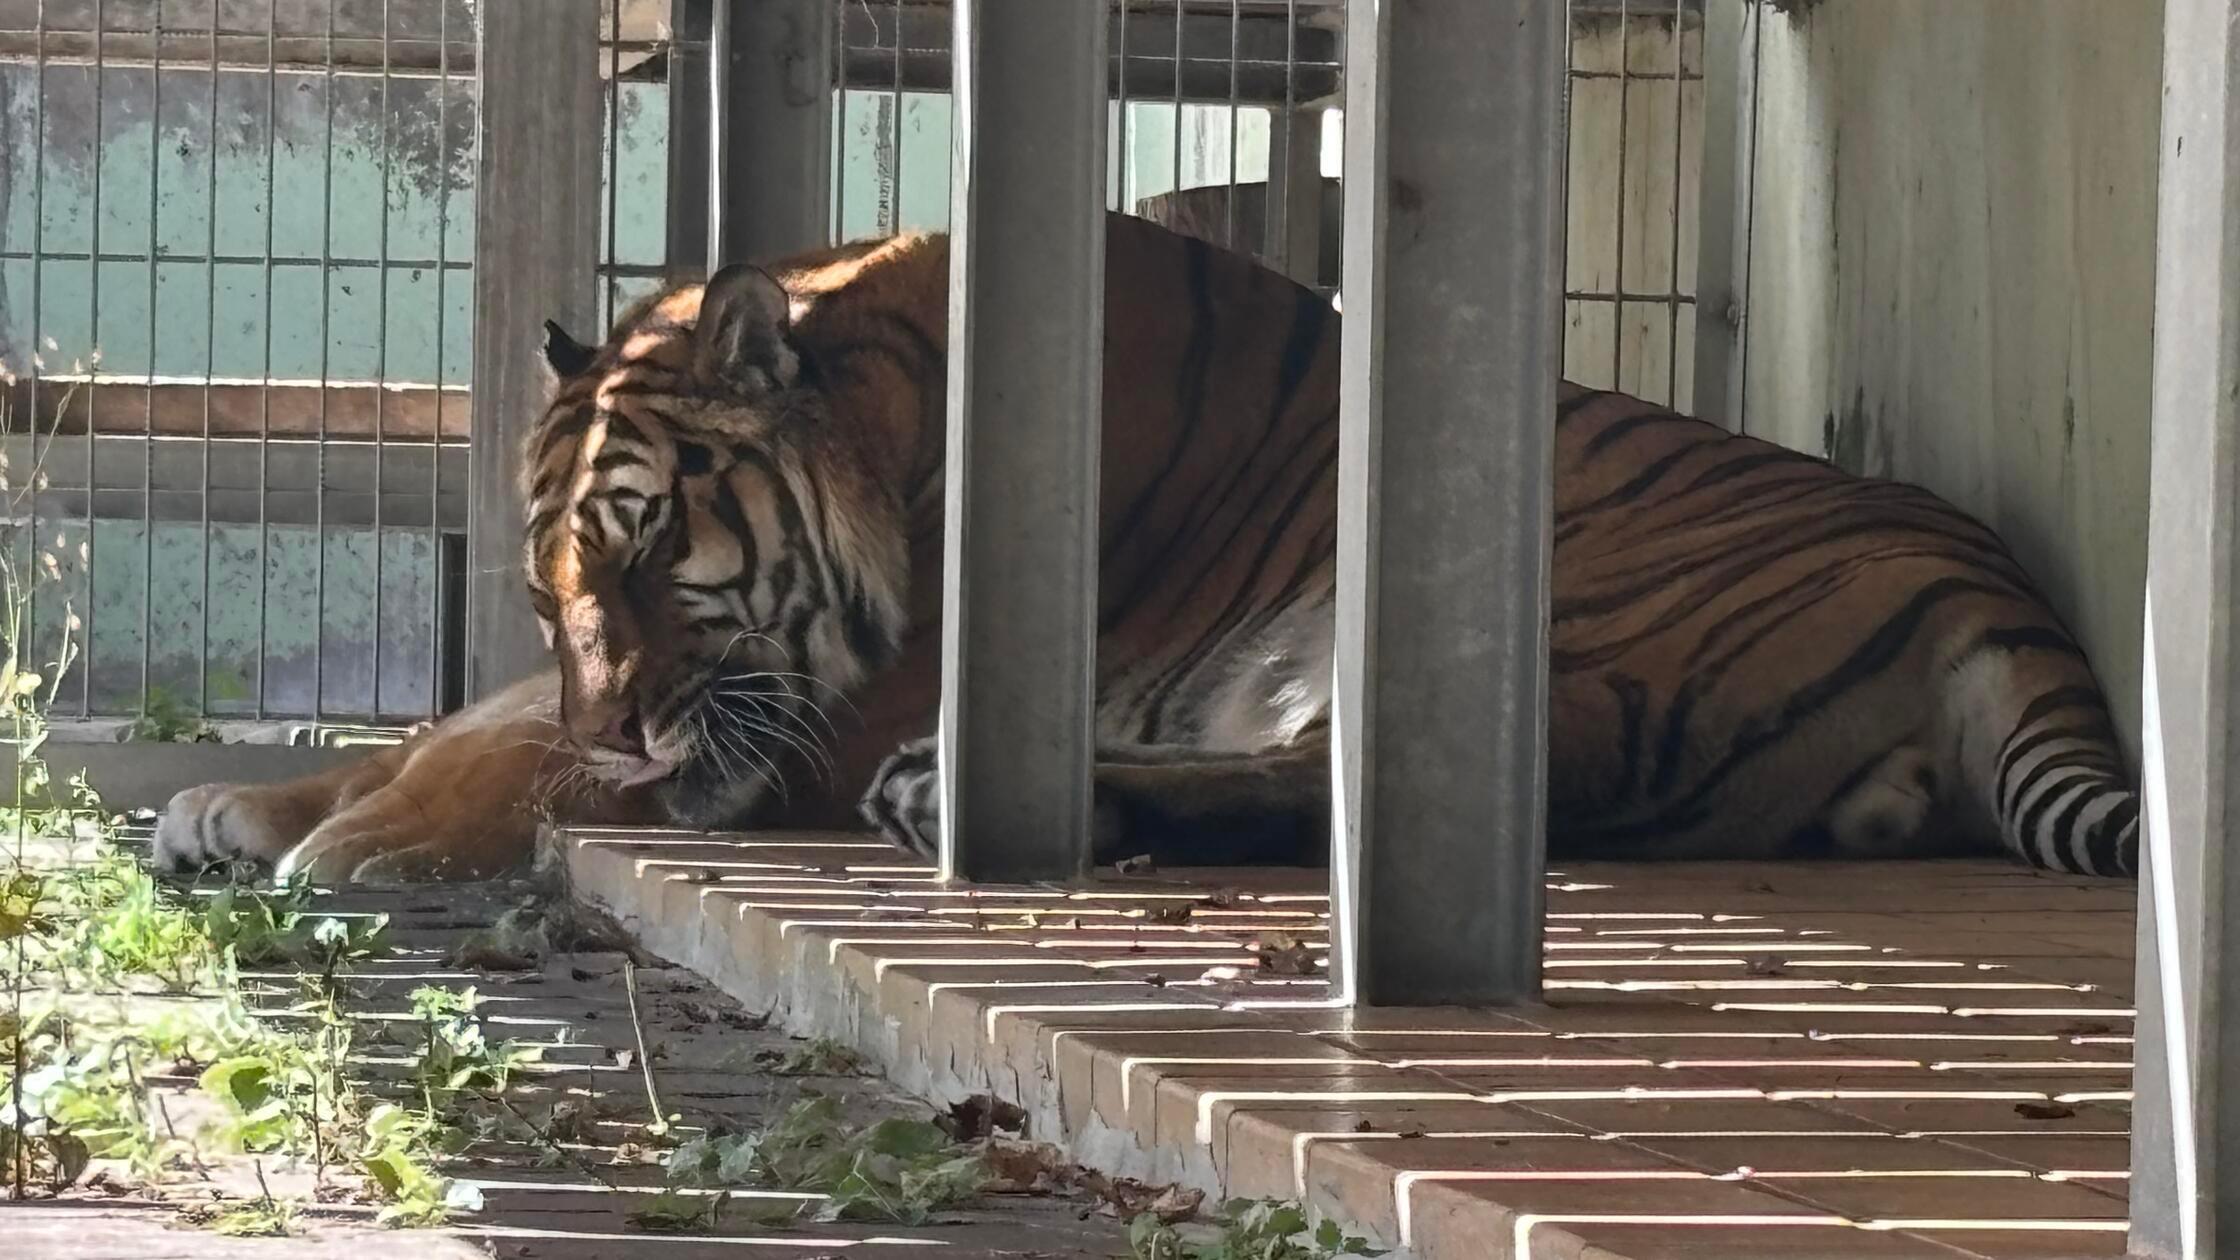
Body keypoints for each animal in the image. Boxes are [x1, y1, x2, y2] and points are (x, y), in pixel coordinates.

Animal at [151, 212, 2140, 884]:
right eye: (552, 579)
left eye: (650, 550)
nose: (623, 716)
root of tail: (2001, 595)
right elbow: (479, 717)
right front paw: (246, 801)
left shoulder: (820, 712)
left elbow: (519, 757)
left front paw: (352, 840)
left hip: (1559, 600)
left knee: (1433, 793)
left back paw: (969, 799)